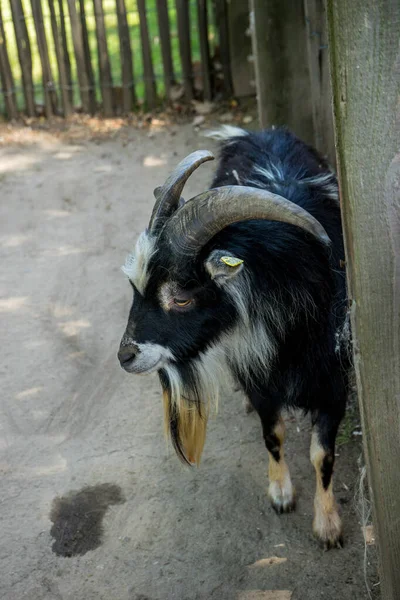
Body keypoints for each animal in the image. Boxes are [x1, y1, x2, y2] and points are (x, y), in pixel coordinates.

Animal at [118, 126, 350, 548]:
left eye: (181, 297)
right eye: (135, 288)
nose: (126, 356)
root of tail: (258, 131)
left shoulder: (333, 385)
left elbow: (322, 455)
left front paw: (328, 526)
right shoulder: (260, 379)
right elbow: (273, 435)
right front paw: (280, 494)